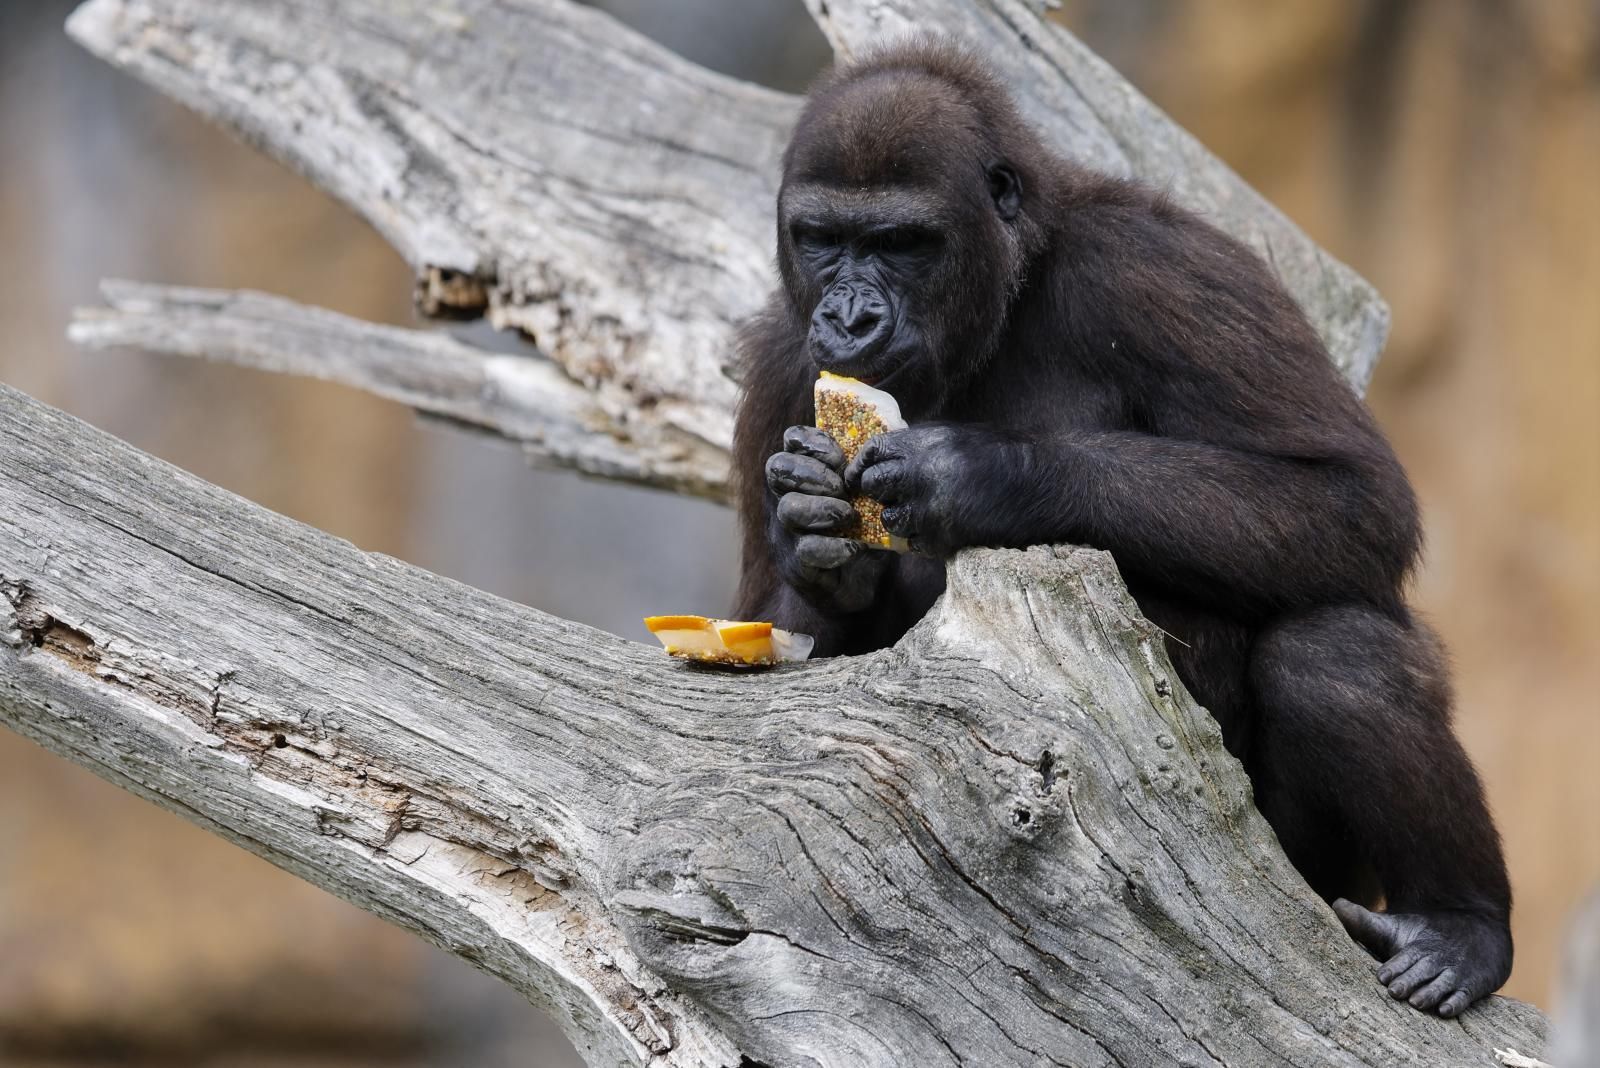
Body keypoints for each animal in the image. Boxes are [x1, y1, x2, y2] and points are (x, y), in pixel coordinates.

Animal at [732, 39, 1510, 1016]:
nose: (850, 317)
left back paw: (1461, 921)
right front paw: (817, 540)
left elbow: (1352, 499)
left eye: (904, 244)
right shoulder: (775, 361)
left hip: (1322, 880)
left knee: (1338, 655)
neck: (1008, 288)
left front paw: (982, 475)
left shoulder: (1157, 263)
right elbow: (777, 650)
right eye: (823, 240)